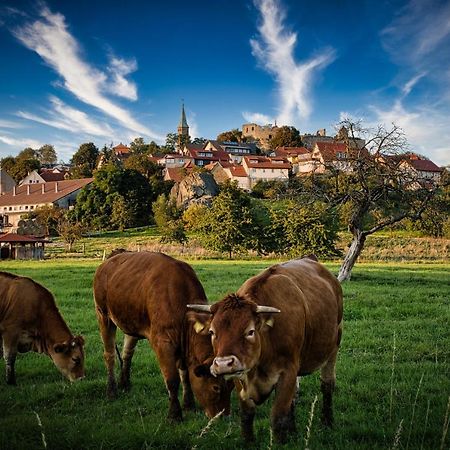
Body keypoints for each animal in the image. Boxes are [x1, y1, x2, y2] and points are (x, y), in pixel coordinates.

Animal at [92, 251, 232, 420]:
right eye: (216, 387)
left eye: (232, 386)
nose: (224, 416)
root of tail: (111, 258)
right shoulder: (163, 342)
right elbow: (172, 379)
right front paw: (174, 414)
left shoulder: (182, 344)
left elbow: (185, 374)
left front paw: (189, 404)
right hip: (103, 314)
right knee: (109, 354)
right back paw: (111, 391)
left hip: (131, 320)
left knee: (127, 353)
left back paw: (124, 383)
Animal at [188, 256, 342, 442]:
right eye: (212, 332)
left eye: (250, 331)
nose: (224, 364)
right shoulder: (241, 375)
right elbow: (247, 414)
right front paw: (248, 441)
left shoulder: (288, 371)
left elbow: (278, 416)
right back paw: (293, 429)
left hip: (334, 345)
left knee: (327, 384)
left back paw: (327, 421)